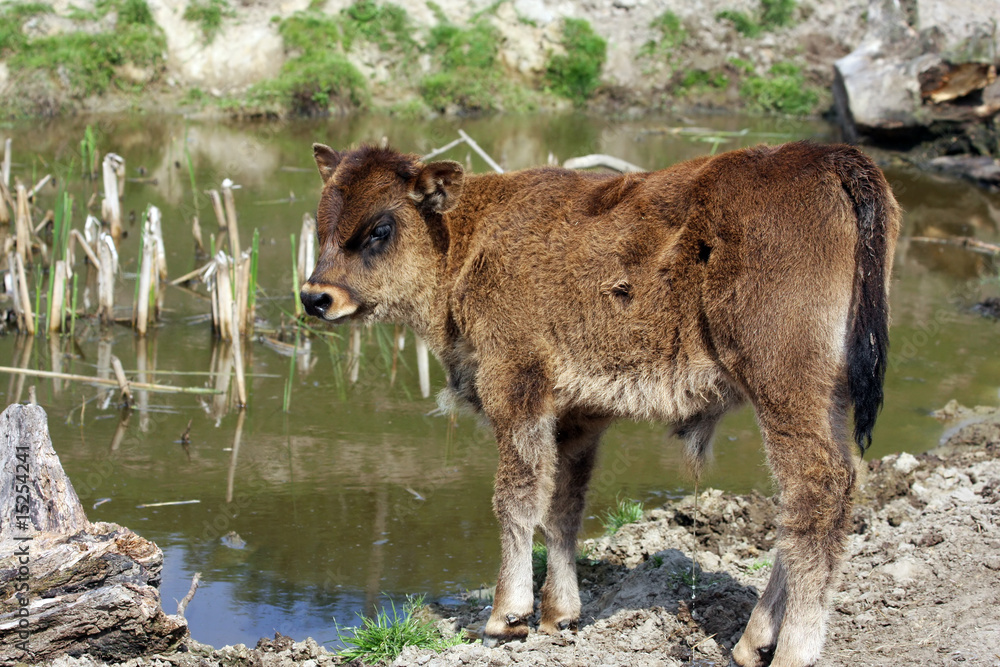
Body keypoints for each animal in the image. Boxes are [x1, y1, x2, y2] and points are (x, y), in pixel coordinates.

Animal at [300, 140, 900, 667]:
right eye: (323, 221)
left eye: (380, 228)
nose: (315, 297)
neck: (464, 238)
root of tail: (829, 158)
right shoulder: (577, 417)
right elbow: (563, 508)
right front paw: (558, 615)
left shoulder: (517, 390)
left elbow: (516, 499)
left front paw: (505, 617)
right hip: (824, 397)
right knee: (814, 498)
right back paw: (754, 643)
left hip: (783, 386)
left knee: (815, 492)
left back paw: (793, 650)